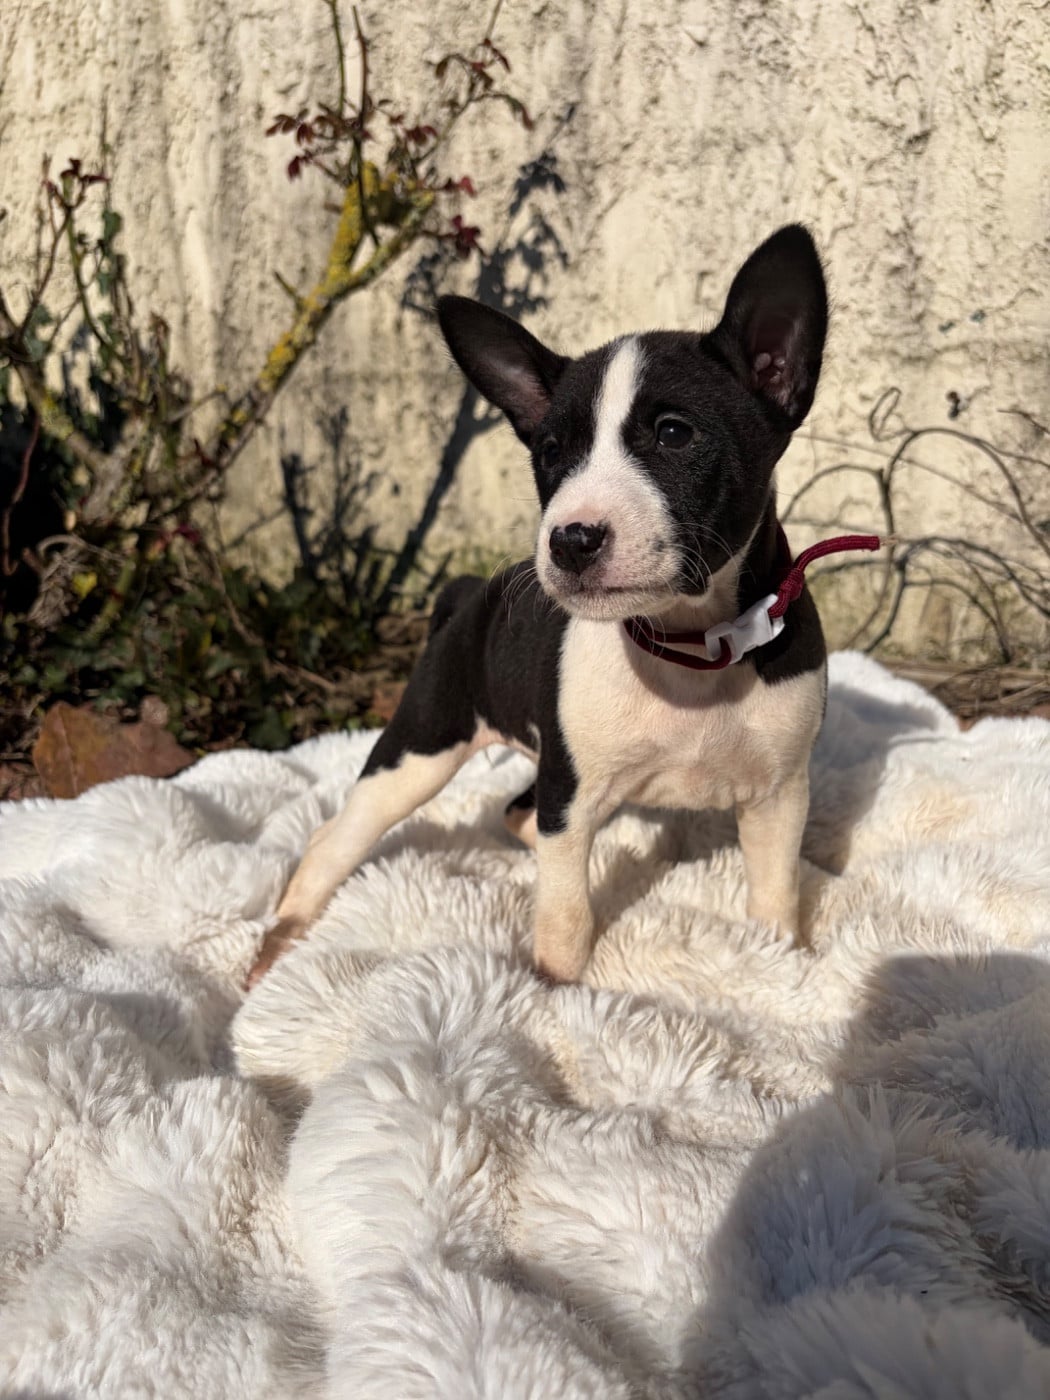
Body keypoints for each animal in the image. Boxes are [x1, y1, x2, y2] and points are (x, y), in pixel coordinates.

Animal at [247, 224, 830, 988]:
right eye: (550, 452)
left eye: (674, 434)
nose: (571, 539)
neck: (688, 647)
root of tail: (467, 596)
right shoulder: (571, 797)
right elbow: (565, 921)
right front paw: (555, 995)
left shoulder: (778, 797)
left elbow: (775, 898)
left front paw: (782, 967)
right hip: (423, 744)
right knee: (336, 837)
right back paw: (282, 937)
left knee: (516, 815)